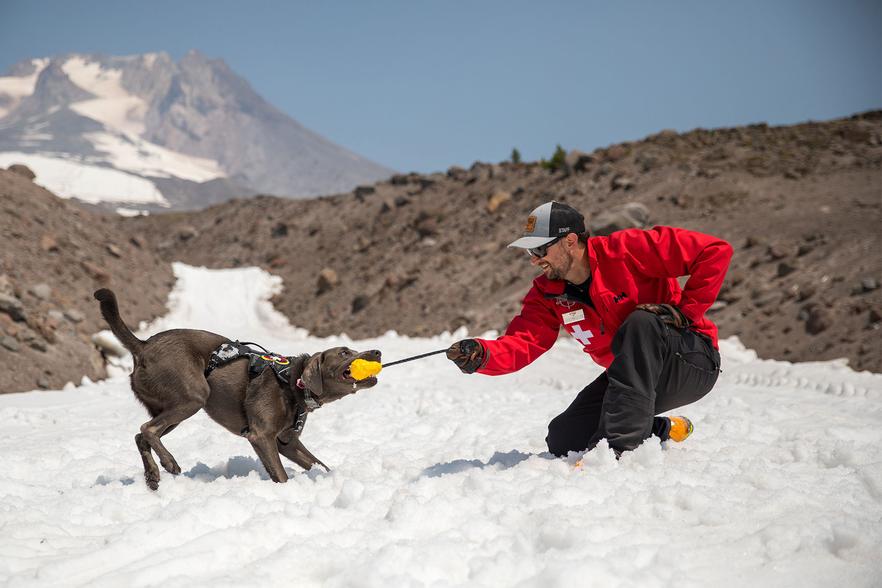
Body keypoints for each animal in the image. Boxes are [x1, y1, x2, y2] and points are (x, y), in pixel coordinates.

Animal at [94, 288, 380, 490]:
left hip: (170, 407)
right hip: (193, 397)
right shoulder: (261, 436)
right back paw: (169, 463)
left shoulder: (287, 442)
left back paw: (152, 475)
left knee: (140, 435)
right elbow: (281, 475)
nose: (377, 351)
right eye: (344, 352)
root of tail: (143, 345)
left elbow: (319, 465)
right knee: (147, 429)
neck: (292, 382)